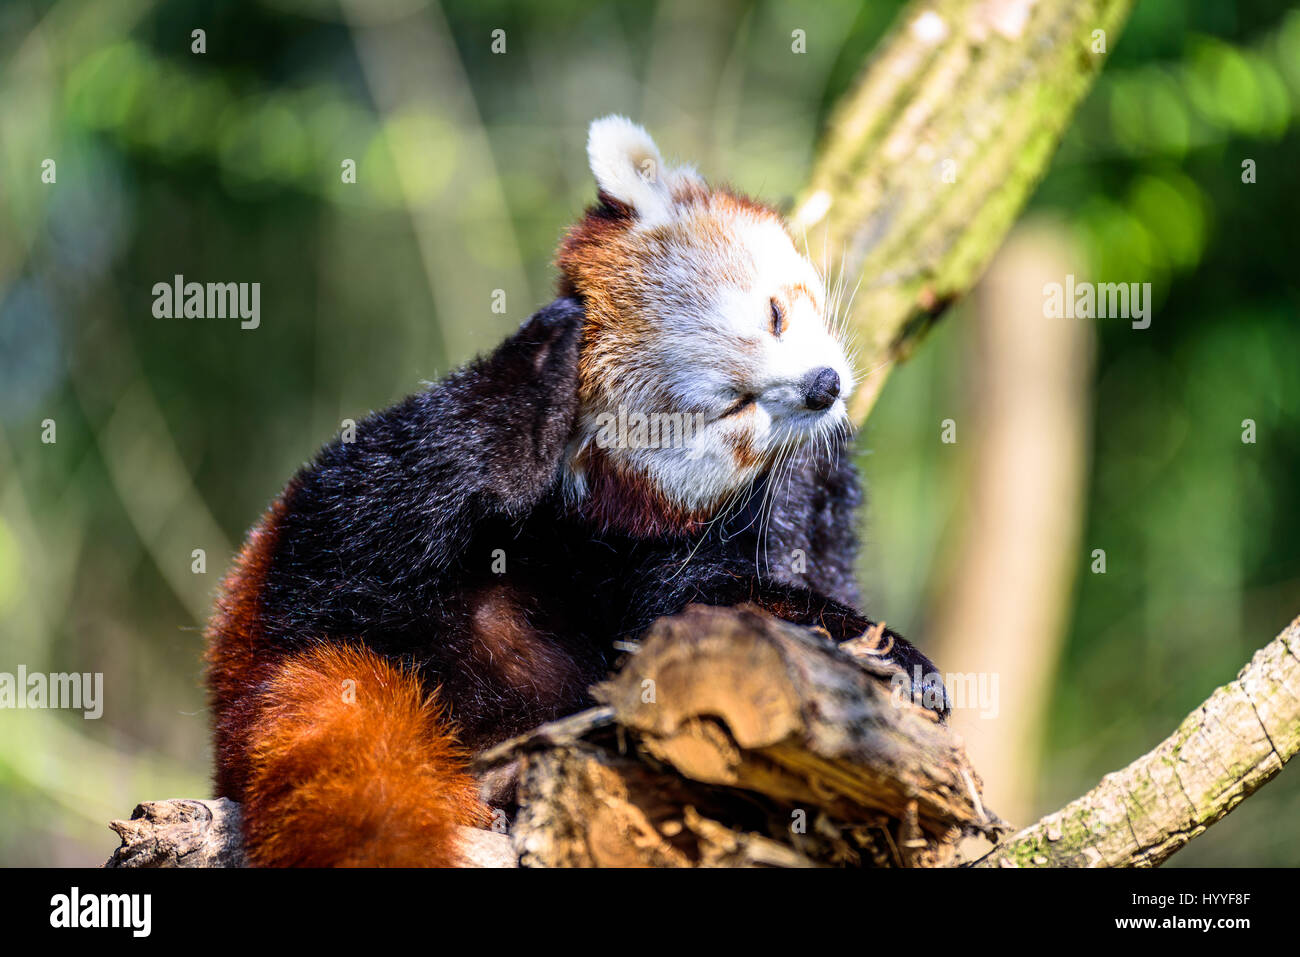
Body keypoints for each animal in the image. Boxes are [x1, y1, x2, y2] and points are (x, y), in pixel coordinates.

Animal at [208, 113, 951, 868]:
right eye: (734, 407)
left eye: (776, 314)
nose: (822, 386)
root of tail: (285, 653)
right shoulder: (635, 554)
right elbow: (693, 608)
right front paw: (891, 657)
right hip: (328, 540)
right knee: (385, 487)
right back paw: (526, 395)